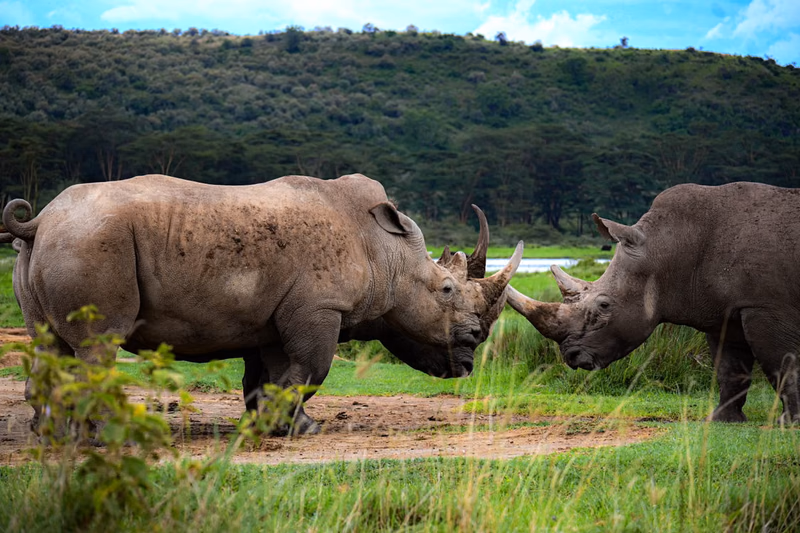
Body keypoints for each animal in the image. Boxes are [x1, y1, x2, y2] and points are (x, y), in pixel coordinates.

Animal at [3, 173, 522, 434]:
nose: (473, 346)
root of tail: (40, 219)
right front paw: (299, 428)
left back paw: (57, 436)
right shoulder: (321, 307)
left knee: (48, 343)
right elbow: (312, 369)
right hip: (92, 240)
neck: (386, 252)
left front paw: (273, 425)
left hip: (58, 242)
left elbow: (268, 375)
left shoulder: (270, 315)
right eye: (447, 290)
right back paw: (111, 434)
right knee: (99, 344)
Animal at [505, 182, 800, 423]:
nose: (572, 357)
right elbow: (729, 367)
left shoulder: (766, 306)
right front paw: (723, 420)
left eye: (604, 306)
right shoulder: (725, 311)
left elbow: (782, 362)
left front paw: (789, 423)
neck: (669, 248)